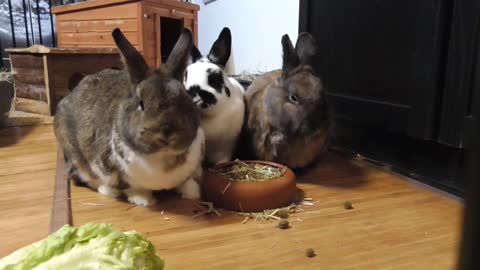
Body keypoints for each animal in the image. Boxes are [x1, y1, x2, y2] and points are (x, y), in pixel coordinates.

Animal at [54, 28, 204, 207]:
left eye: (185, 100)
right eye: (141, 104)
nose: (166, 135)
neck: (163, 156)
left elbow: (186, 182)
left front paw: (193, 193)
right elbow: (132, 188)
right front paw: (143, 200)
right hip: (74, 155)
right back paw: (109, 190)